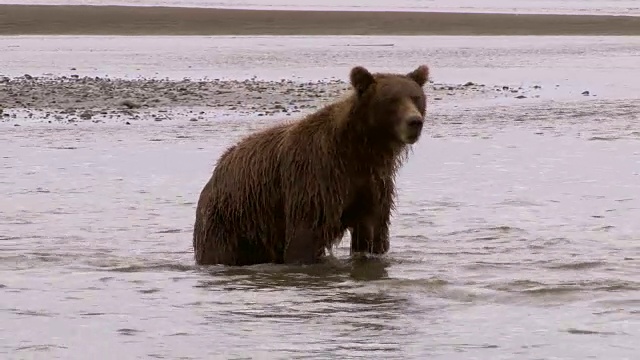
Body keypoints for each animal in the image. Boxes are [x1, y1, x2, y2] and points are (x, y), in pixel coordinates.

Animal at [191, 64, 430, 266]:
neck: (360, 150)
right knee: (220, 252)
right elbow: (304, 236)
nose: (414, 122)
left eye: (416, 97)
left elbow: (373, 234)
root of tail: (215, 172)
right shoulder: (314, 177)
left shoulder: (374, 184)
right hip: (229, 219)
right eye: (391, 100)